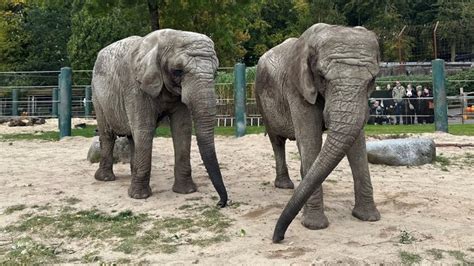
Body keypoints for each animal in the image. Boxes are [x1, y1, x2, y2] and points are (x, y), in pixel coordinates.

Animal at [92, 29, 228, 208]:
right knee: (108, 134)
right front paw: (139, 197)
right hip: (97, 95)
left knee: (133, 137)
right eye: (178, 71)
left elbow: (182, 128)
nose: (220, 203)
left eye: (215, 73)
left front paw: (186, 191)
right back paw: (105, 179)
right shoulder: (135, 85)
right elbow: (145, 129)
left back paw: (132, 174)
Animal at [256, 23, 382, 242]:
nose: (277, 238)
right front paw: (314, 225)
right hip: (261, 98)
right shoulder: (297, 87)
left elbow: (357, 144)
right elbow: (310, 139)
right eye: (322, 77)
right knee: (277, 141)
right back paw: (285, 186)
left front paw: (368, 218)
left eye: (372, 80)